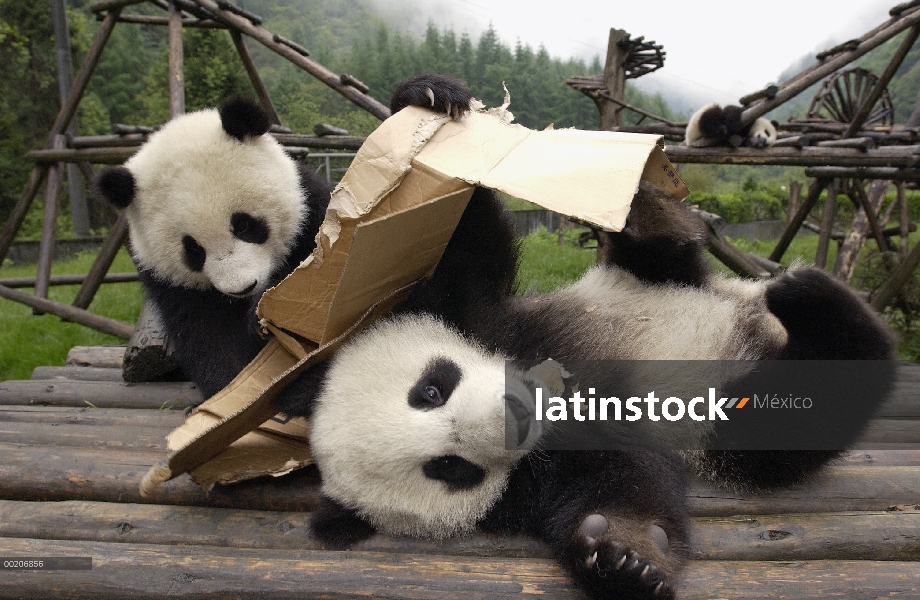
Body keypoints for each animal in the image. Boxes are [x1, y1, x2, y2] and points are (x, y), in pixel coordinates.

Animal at [276, 183, 896, 600]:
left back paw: (660, 216)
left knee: (659, 255)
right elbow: (616, 477)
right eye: (449, 468)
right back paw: (821, 308)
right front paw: (623, 558)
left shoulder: (492, 323)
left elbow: (467, 247)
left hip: (656, 282)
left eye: (431, 389)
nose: (514, 418)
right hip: (732, 417)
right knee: (793, 418)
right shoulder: (530, 480)